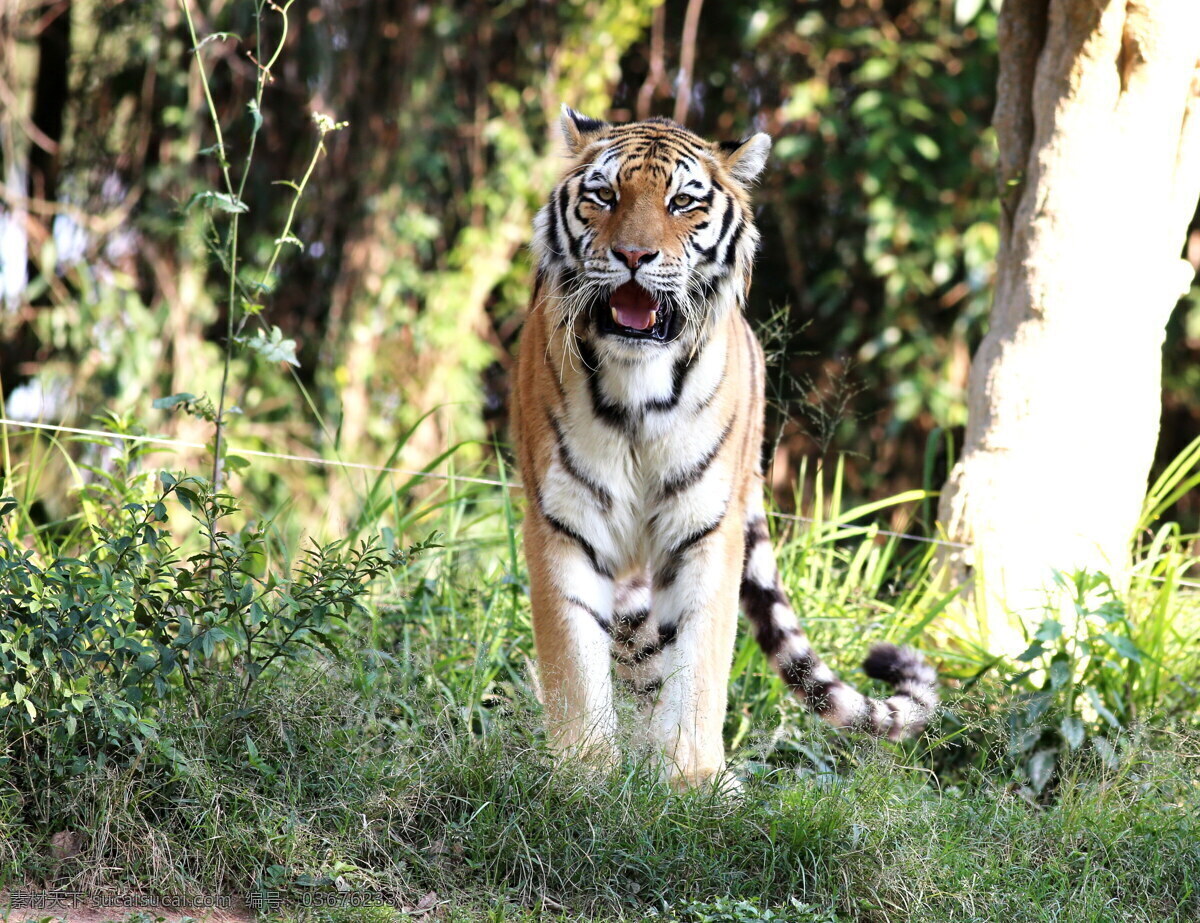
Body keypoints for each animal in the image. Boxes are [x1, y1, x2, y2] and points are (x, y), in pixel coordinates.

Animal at [506, 108, 936, 787]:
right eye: (604, 195)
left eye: (682, 202)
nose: (633, 255)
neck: (638, 385)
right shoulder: (564, 521)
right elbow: (574, 658)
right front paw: (584, 775)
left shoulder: (705, 525)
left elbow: (699, 661)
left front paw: (691, 779)